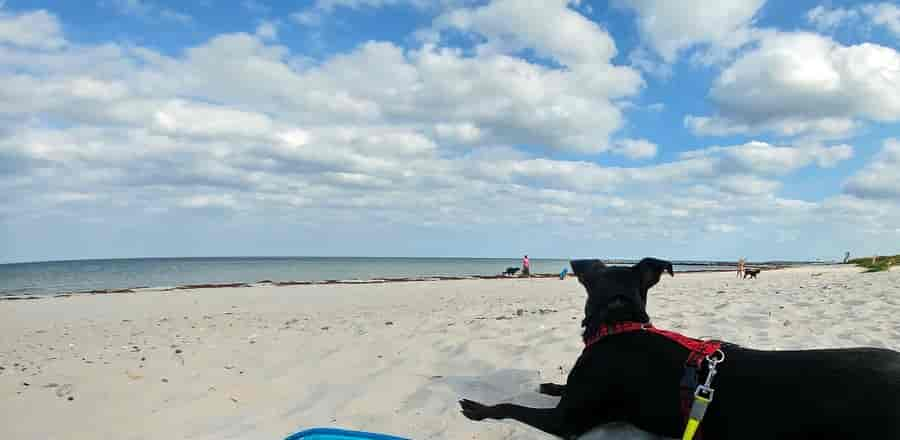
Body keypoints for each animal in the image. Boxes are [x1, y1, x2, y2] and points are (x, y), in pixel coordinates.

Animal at [460, 258, 896, 436]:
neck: (620, 323)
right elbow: (558, 387)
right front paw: (550, 383)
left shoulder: (565, 422)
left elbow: (510, 406)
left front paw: (478, 408)